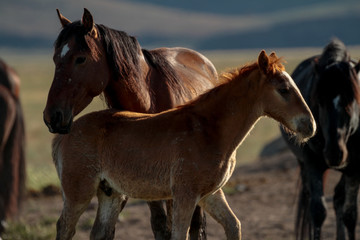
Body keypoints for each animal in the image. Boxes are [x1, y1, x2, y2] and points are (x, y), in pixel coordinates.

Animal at [52, 51, 316, 240]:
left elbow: (234, 226)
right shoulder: (185, 194)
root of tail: (63, 135)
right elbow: (180, 234)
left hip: (110, 193)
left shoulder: (210, 194)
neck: (209, 129)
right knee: (64, 228)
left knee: (99, 232)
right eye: (284, 89)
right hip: (78, 193)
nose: (310, 125)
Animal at [282, 38, 360, 239]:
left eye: (351, 102)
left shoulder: (354, 168)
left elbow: (350, 214)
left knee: (339, 198)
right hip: (304, 165)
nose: (334, 153)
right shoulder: (313, 163)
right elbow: (317, 212)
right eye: (320, 102)